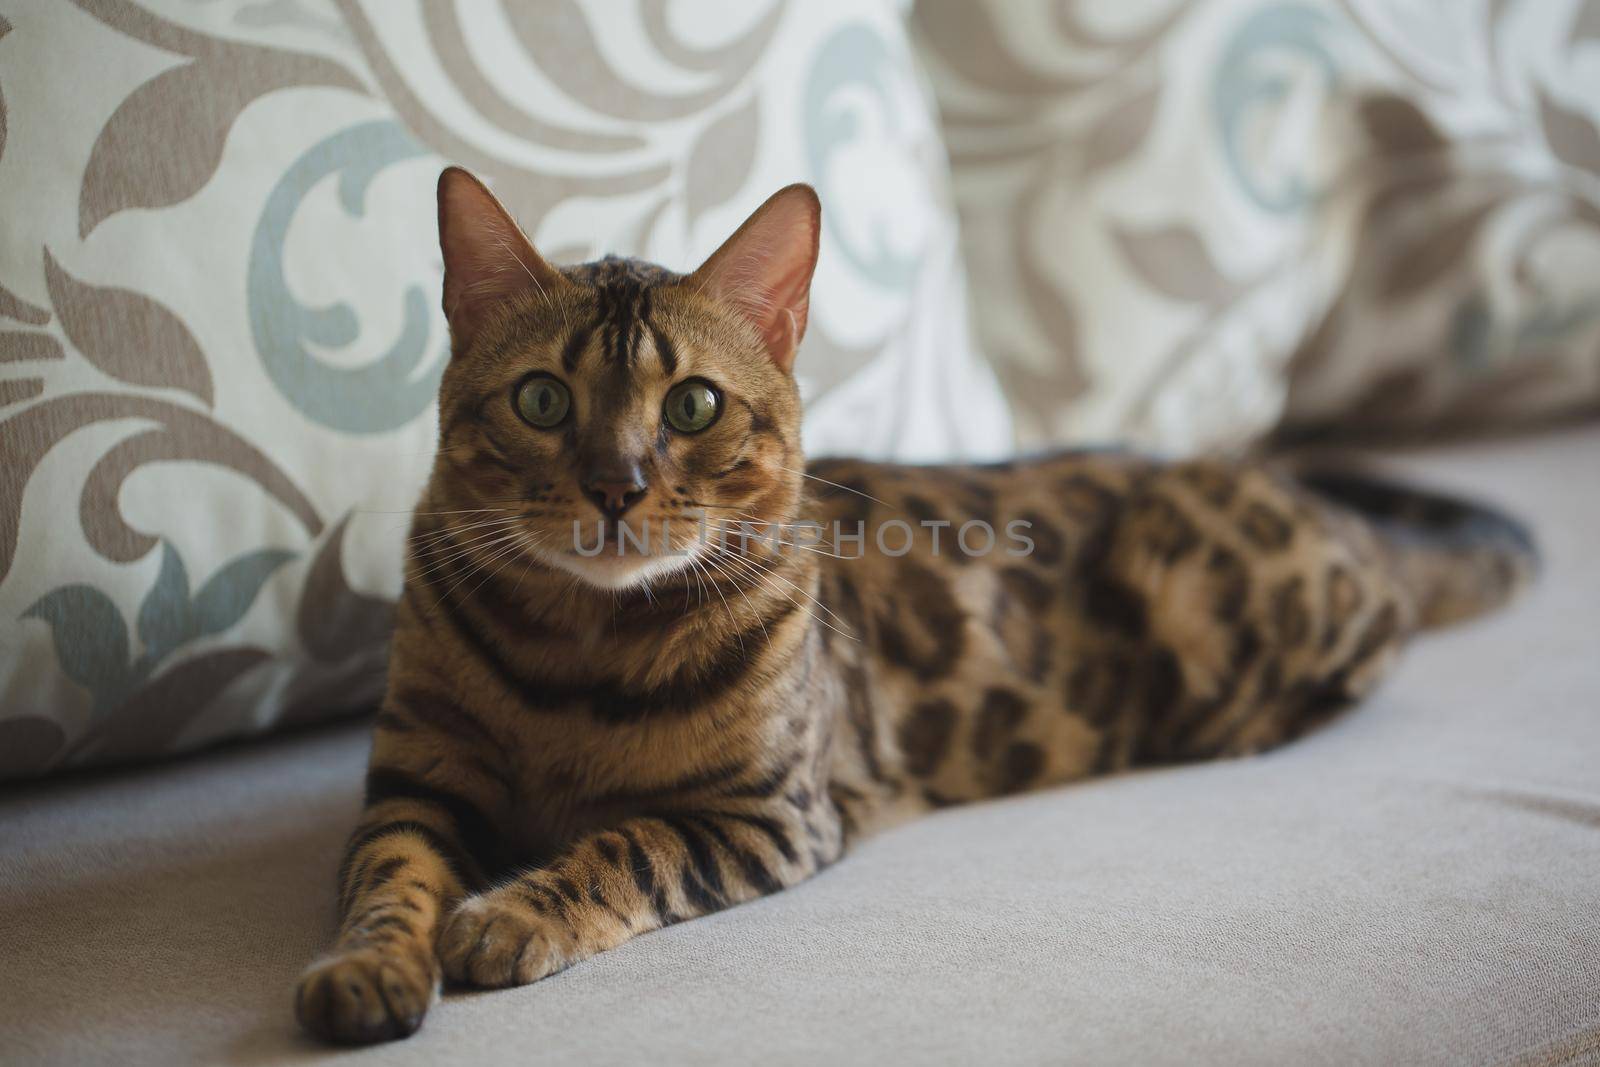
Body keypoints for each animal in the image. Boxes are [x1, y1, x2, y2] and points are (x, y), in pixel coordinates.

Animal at [291, 167, 1536, 1043]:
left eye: (692, 404)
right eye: (543, 399)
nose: (616, 485)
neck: (577, 653)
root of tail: (1298, 488)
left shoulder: (769, 811)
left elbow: (625, 846)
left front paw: (510, 910)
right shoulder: (416, 780)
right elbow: (386, 877)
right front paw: (370, 966)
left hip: (1212, 585)